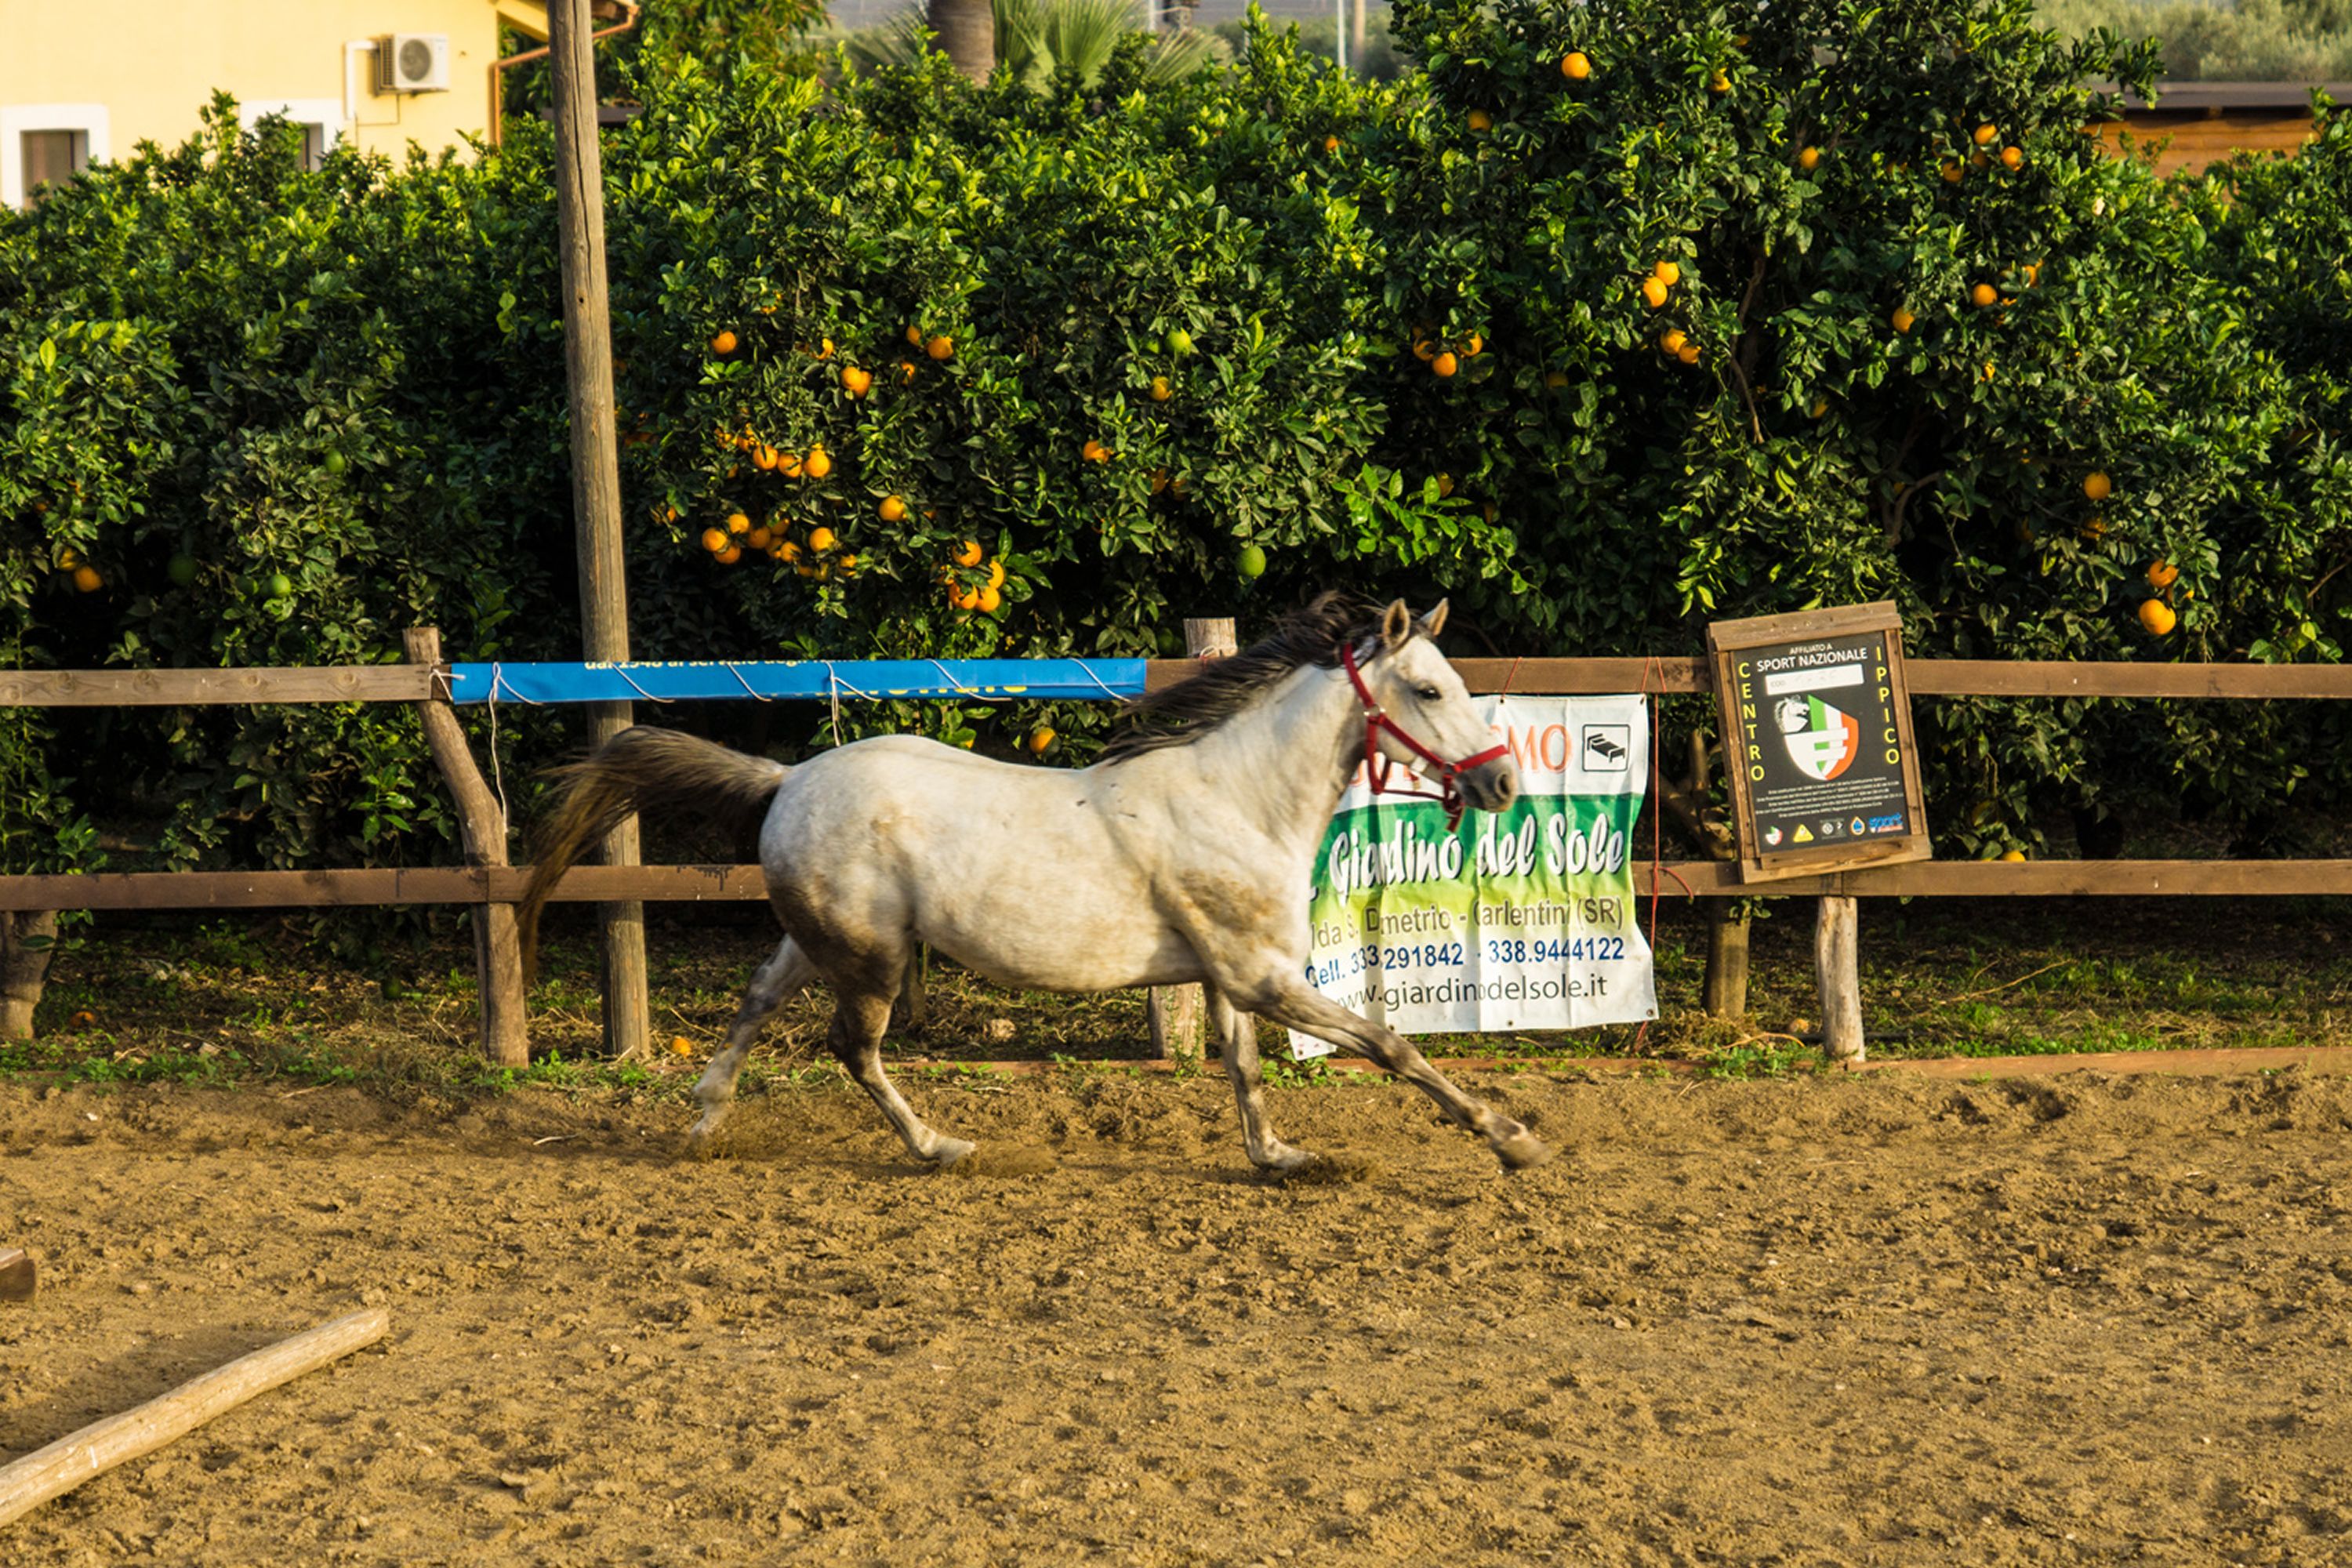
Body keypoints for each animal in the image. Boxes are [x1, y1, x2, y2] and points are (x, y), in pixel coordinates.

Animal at [516, 595, 1551, 1175]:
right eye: (1427, 689)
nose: (1502, 782)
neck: (1239, 796)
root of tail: (787, 778)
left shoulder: (1229, 976)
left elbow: (1244, 1068)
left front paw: (1278, 1156)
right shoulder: (1263, 975)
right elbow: (1392, 1046)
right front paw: (1511, 1137)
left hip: (822, 940)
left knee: (758, 999)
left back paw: (702, 1120)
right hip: (871, 956)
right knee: (852, 1047)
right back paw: (939, 1148)